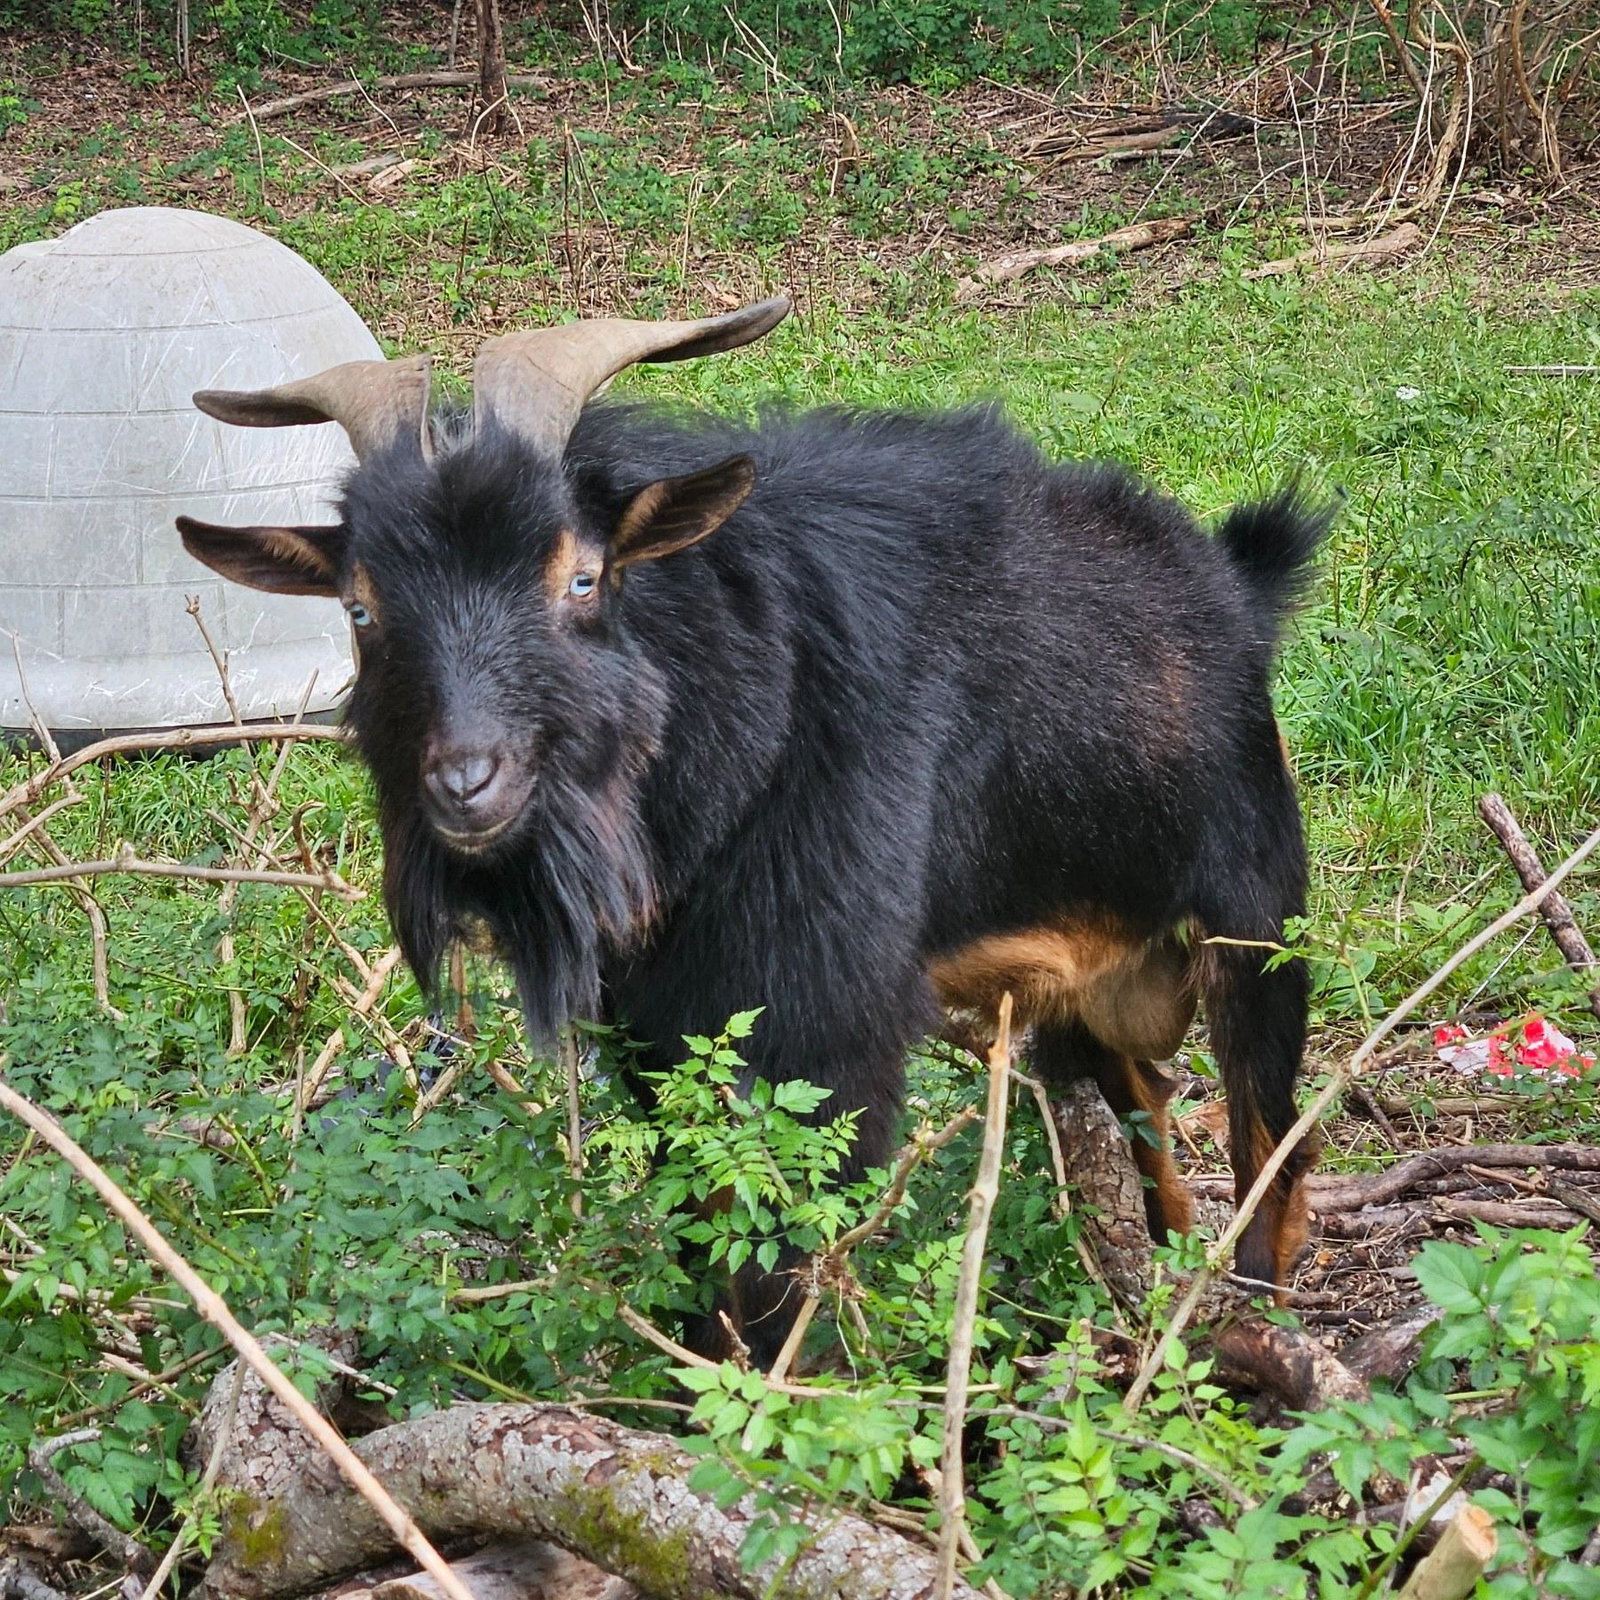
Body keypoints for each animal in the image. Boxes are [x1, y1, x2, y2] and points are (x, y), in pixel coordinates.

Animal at [177, 297, 1330, 1362]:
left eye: (583, 575)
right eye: (361, 608)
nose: (467, 782)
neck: (752, 715)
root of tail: (1233, 578)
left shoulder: (831, 1029)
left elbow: (787, 1269)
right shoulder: (659, 1029)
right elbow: (705, 1245)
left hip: (1255, 913)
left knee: (1271, 1144)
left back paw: (1256, 1330)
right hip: (1084, 984)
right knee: (1149, 1116)